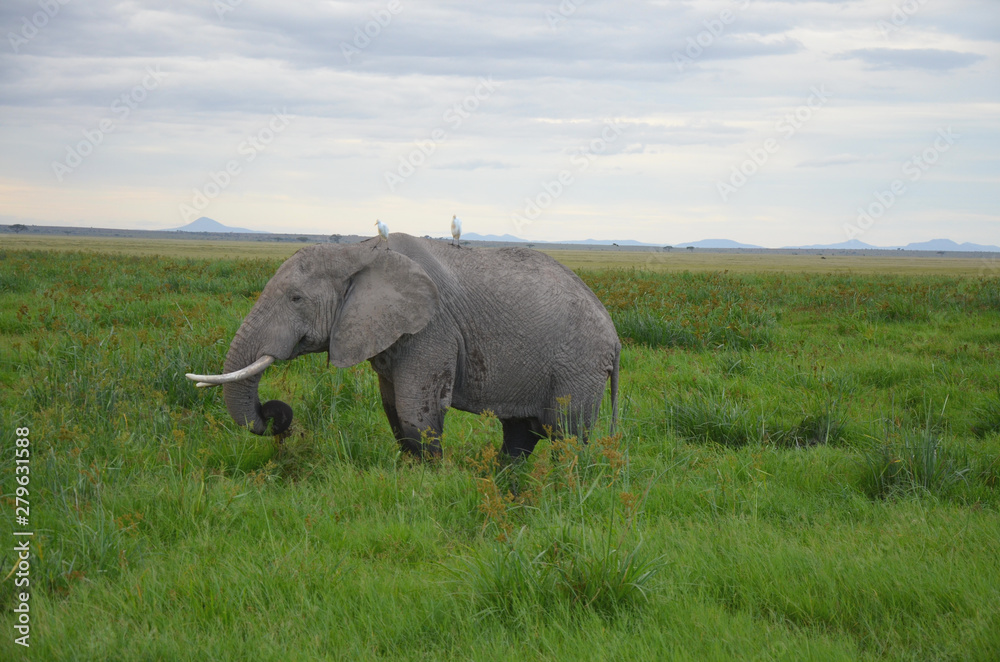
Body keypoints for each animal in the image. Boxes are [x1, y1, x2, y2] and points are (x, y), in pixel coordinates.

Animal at [187, 232, 620, 459]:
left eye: (295, 298)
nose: (276, 416)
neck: (360, 250)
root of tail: (615, 339)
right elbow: (394, 412)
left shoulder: (431, 329)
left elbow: (416, 415)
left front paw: (429, 487)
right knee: (520, 435)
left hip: (578, 365)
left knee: (567, 435)